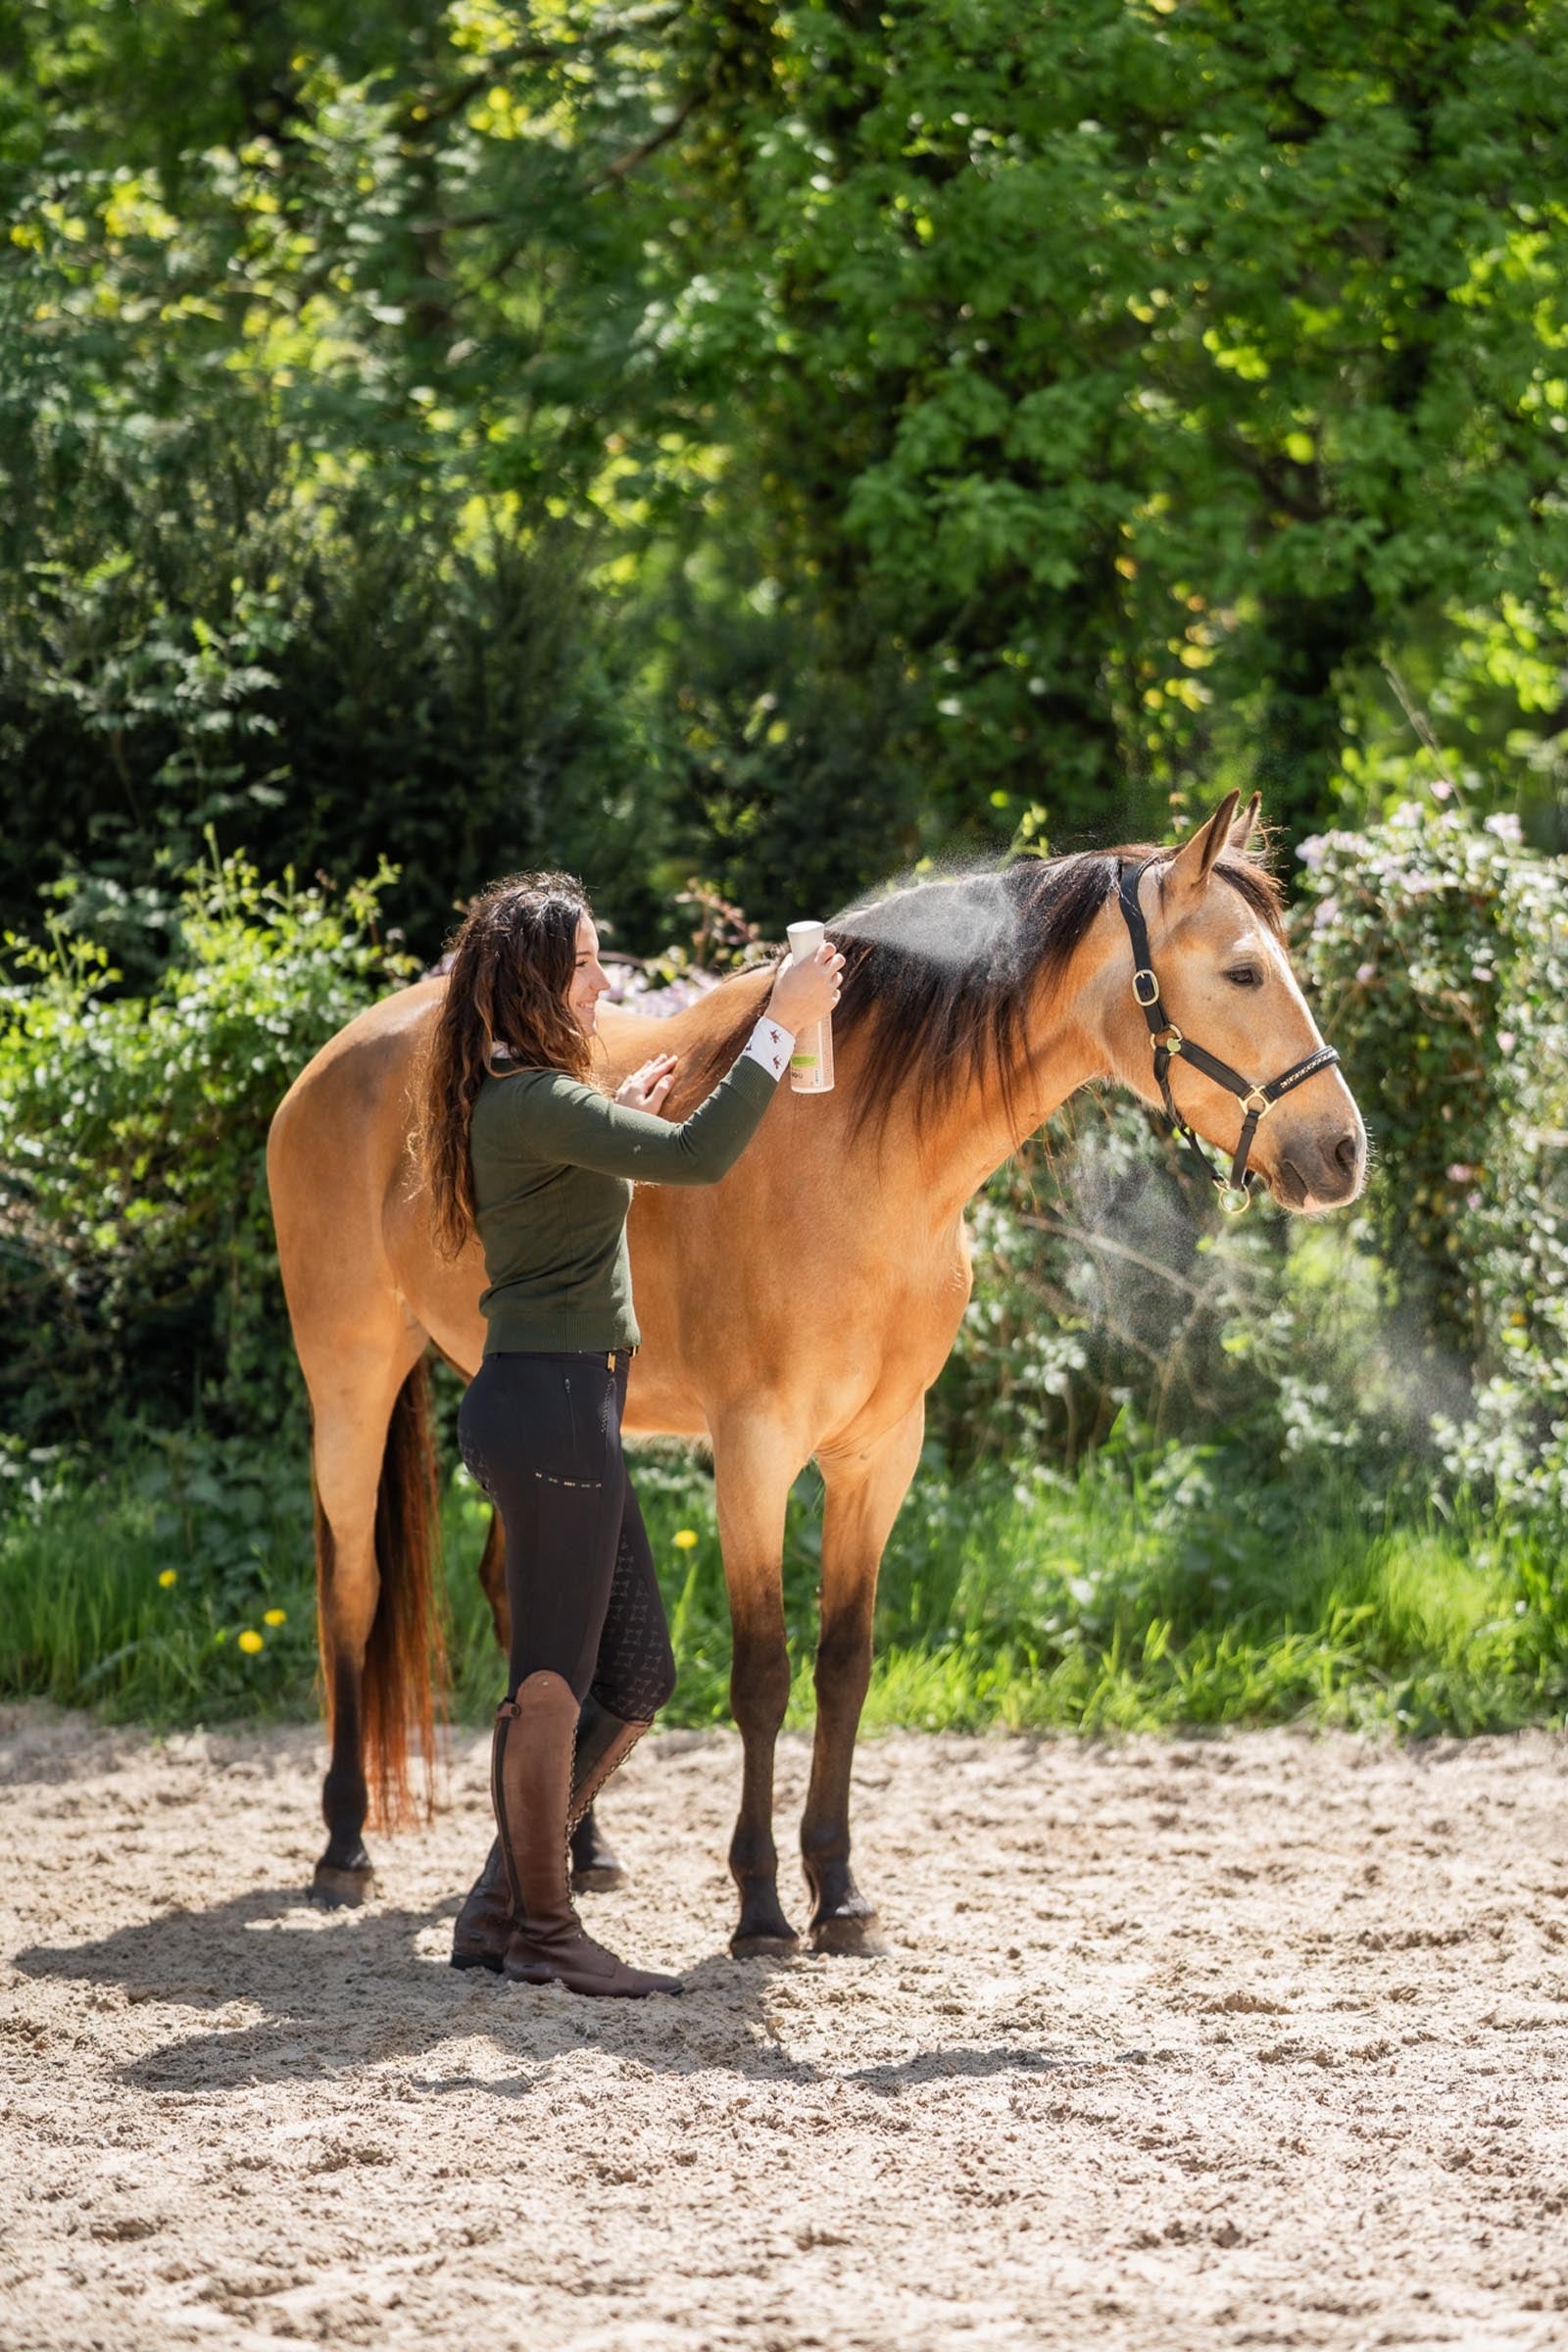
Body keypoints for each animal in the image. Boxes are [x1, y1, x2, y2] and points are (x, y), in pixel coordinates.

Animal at [265, 790, 1367, 1953]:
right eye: (1243, 973)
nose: (1344, 1151)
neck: (858, 1161)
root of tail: (335, 1061)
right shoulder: (754, 1456)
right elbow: (762, 1673)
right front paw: (758, 1905)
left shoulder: (879, 1457)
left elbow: (844, 1667)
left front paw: (838, 1892)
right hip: (349, 1382)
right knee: (352, 1591)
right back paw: (344, 1846)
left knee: (526, 1610)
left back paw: (577, 1852)